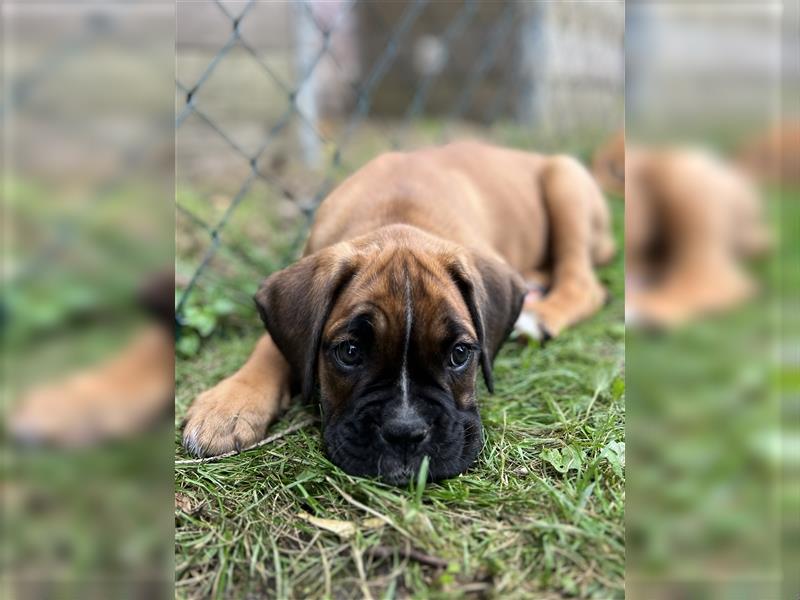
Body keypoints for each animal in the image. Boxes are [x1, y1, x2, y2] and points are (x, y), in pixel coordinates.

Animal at [186, 142, 612, 482]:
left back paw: (540, 314)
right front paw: (229, 405)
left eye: (459, 354)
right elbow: (271, 345)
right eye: (349, 352)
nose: (405, 433)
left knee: (584, 282)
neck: (398, 216)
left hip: (566, 182)